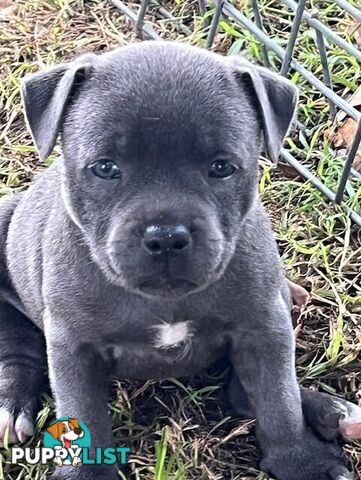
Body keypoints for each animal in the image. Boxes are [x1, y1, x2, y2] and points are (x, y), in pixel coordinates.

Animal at [0, 42, 360, 480]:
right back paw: (13, 402)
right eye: (105, 168)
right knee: (16, 343)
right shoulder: (74, 346)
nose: (166, 237)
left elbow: (279, 400)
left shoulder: (263, 327)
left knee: (249, 391)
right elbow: (83, 414)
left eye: (221, 167)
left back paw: (333, 411)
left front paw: (302, 462)